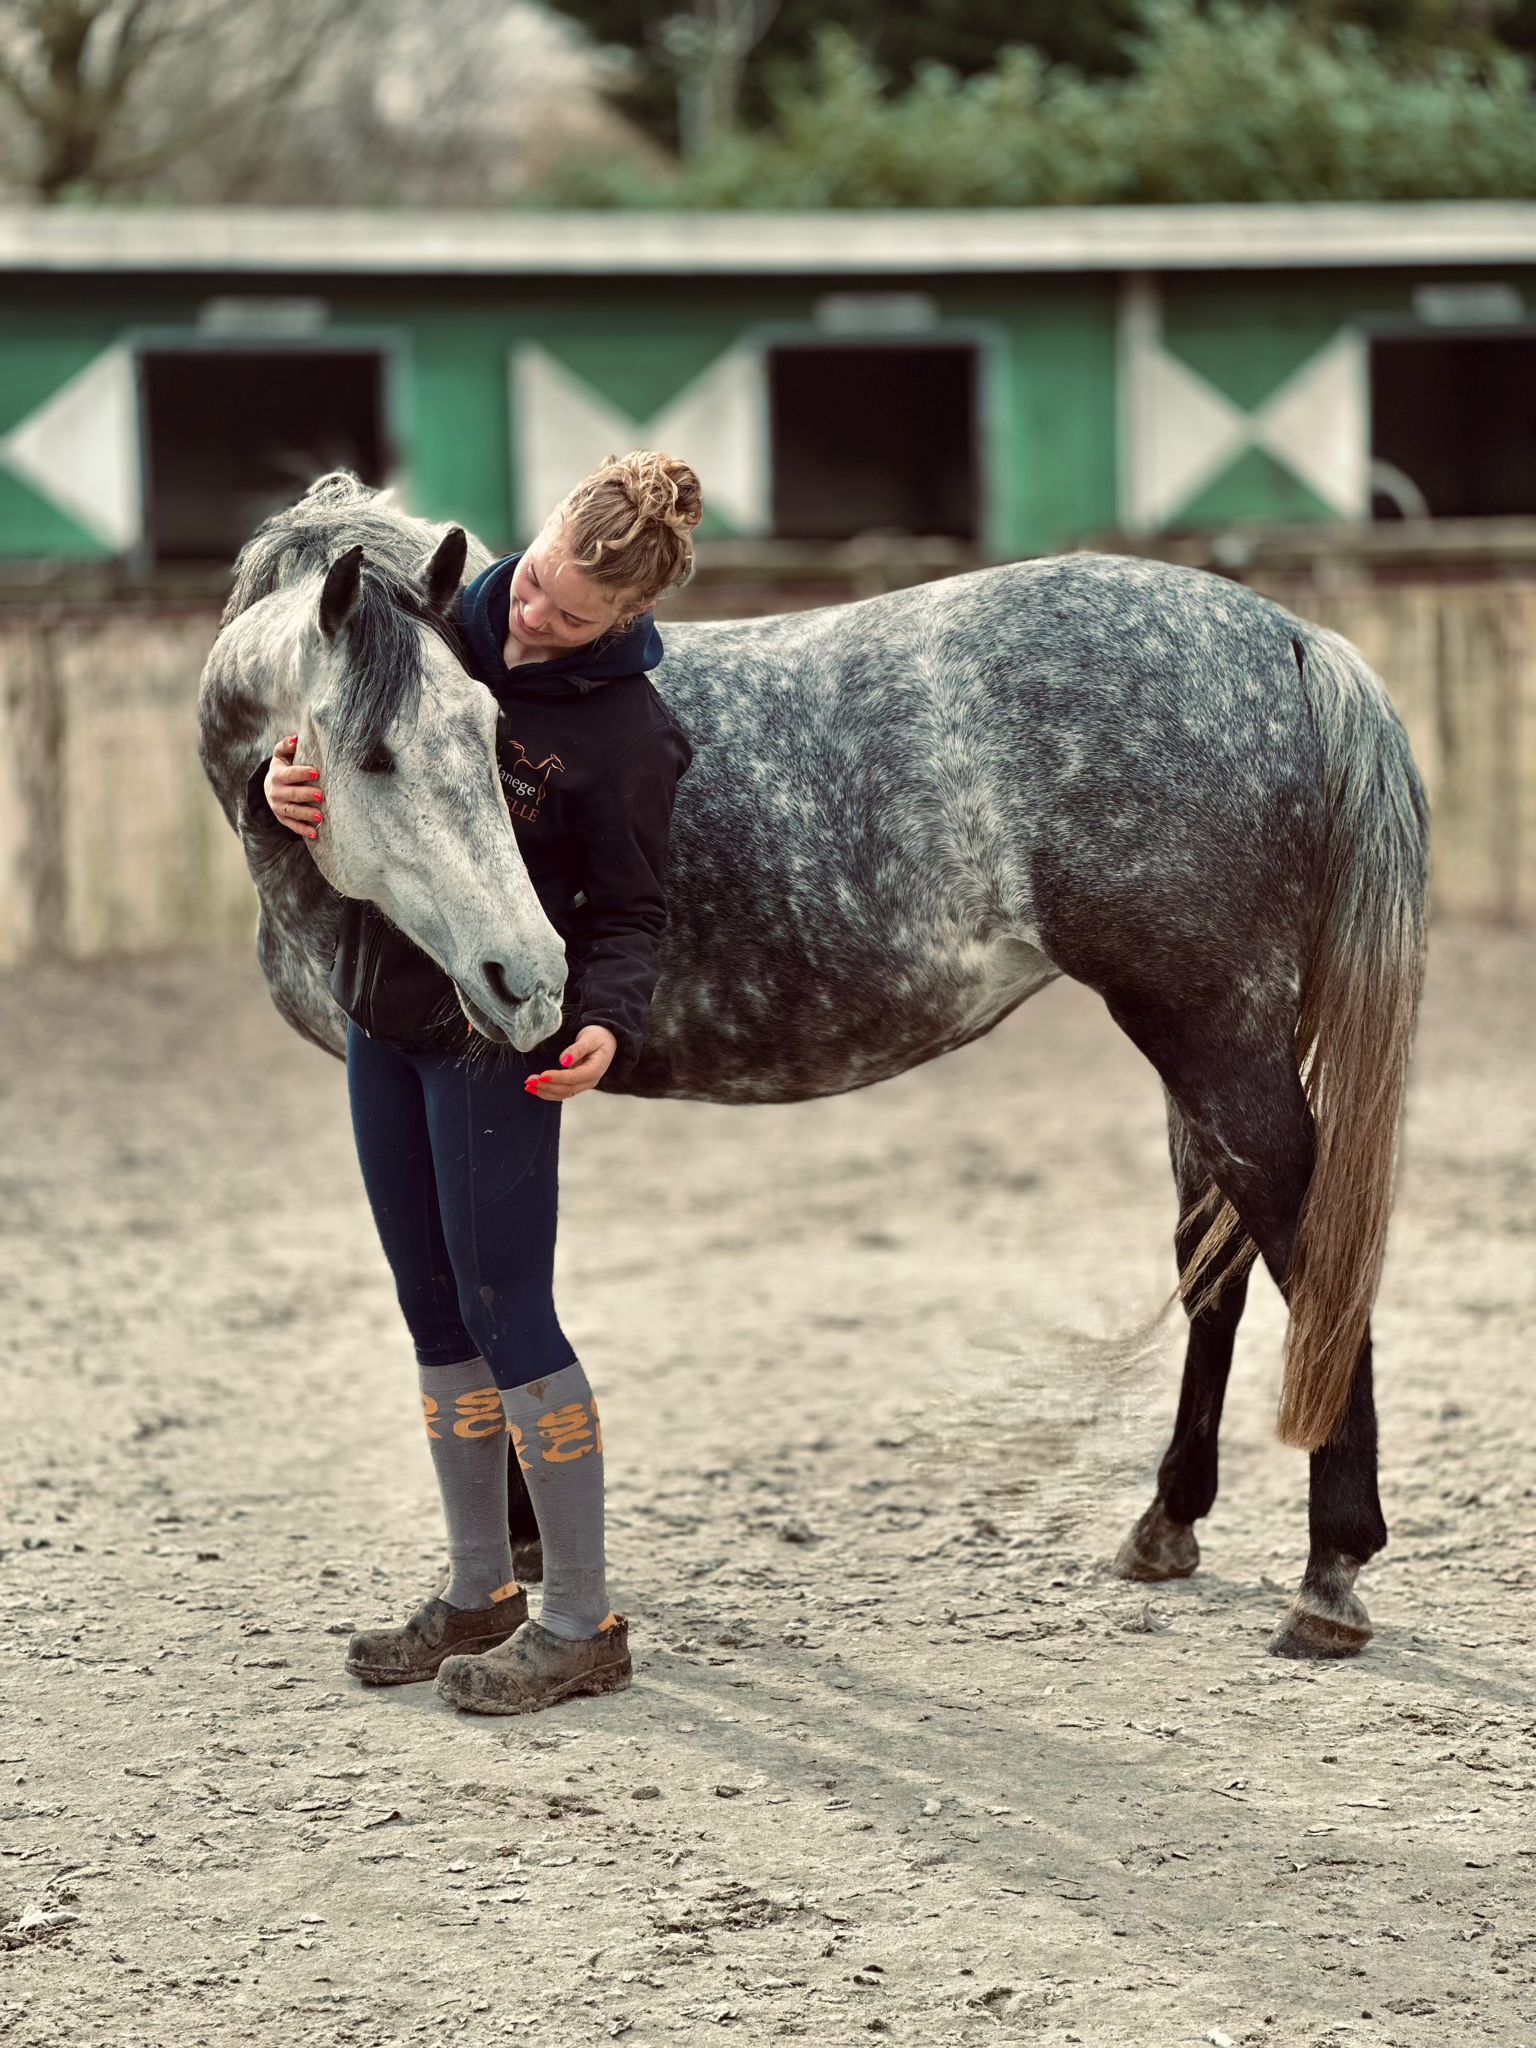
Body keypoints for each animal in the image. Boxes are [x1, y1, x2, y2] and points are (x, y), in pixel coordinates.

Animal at [197, 471, 1430, 1662]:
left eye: (494, 737)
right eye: (376, 753)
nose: (528, 974)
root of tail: (1287, 636)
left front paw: (519, 1553)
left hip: (1211, 1031)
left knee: (1306, 1245)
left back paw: (1330, 1575)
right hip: (1205, 1042)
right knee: (1214, 1261)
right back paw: (1167, 1523)